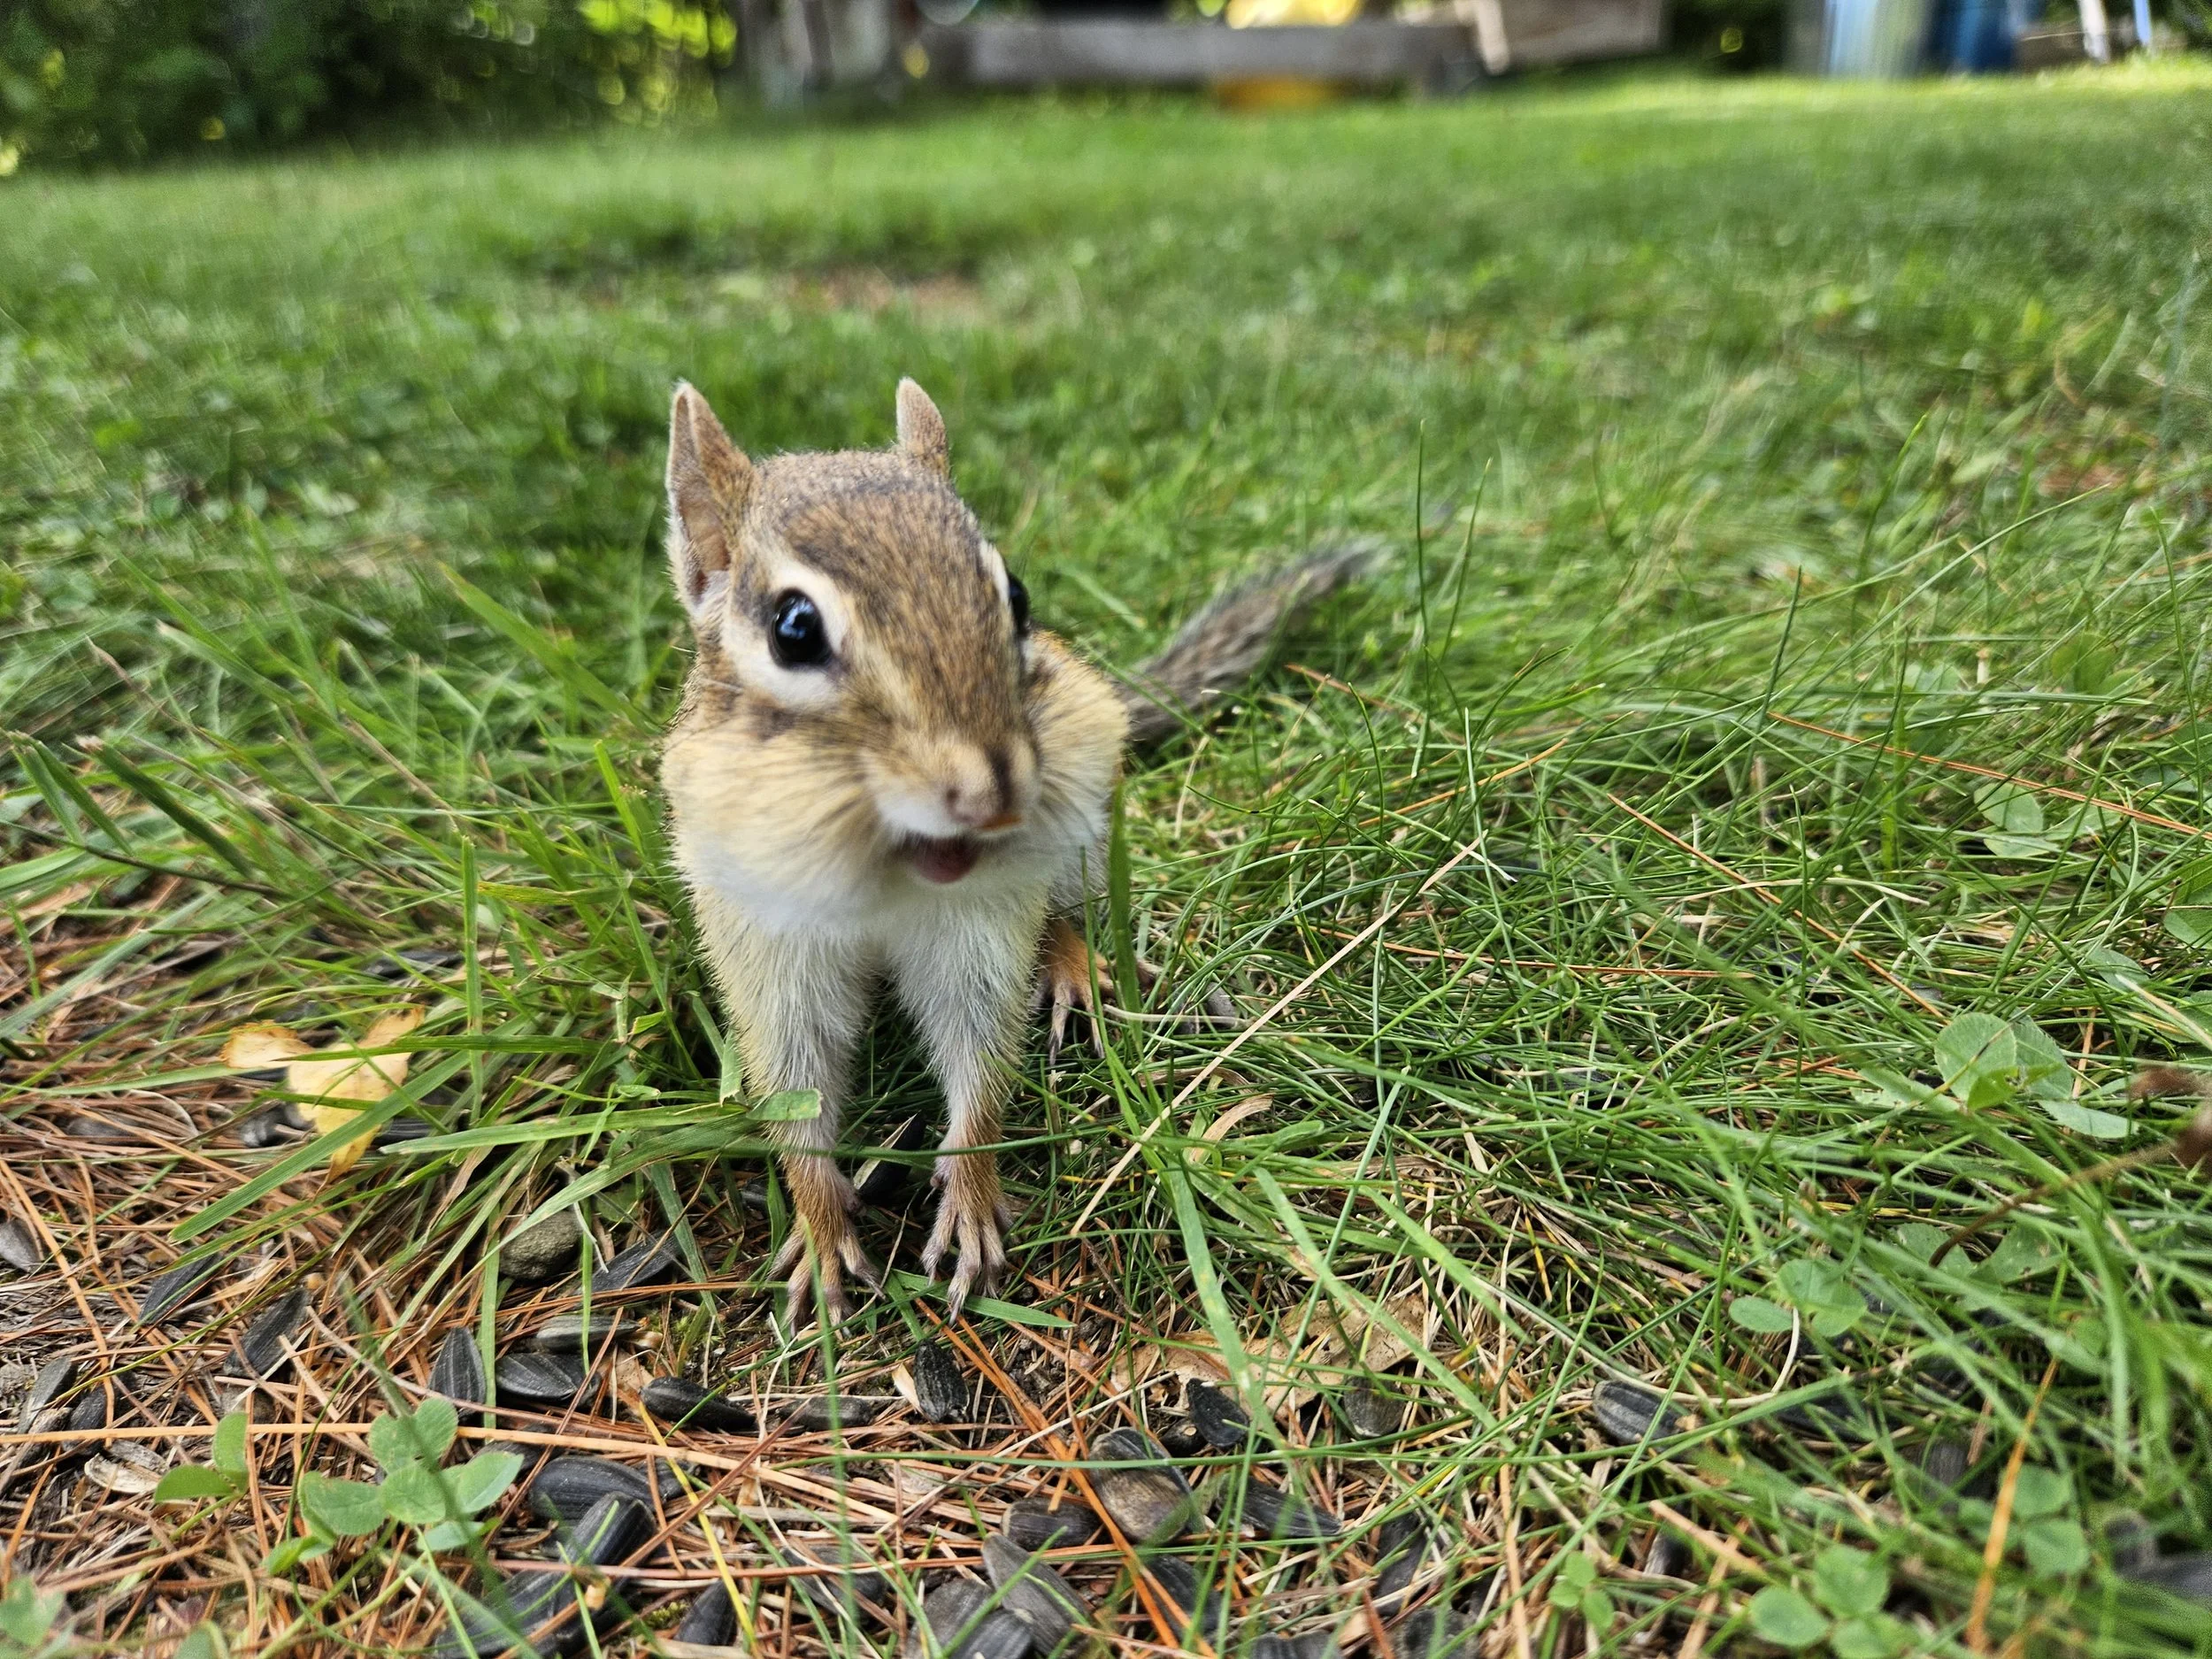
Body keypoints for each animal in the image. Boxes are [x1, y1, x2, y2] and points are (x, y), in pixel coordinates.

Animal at [658, 377, 1370, 1323]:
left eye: (1018, 596)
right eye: (793, 629)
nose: (991, 789)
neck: (884, 880)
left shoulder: (977, 929)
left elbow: (980, 1058)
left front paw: (967, 1197)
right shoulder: (771, 945)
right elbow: (797, 1085)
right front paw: (817, 1224)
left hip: (1080, 827)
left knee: (1060, 911)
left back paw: (1070, 967)